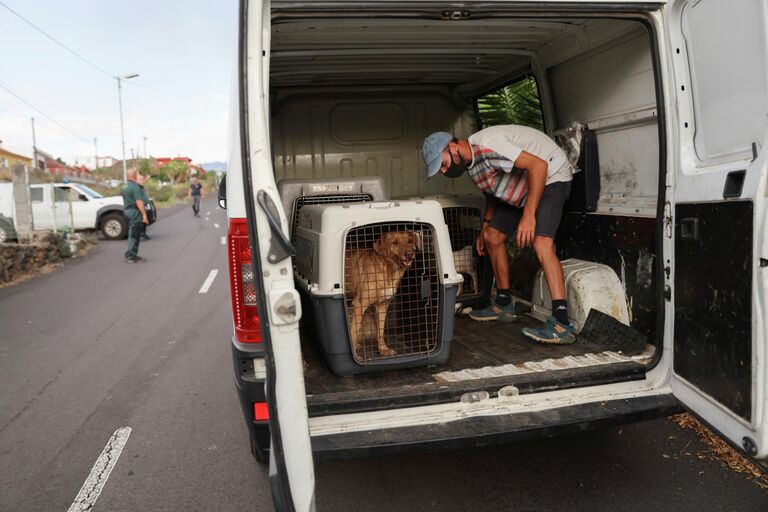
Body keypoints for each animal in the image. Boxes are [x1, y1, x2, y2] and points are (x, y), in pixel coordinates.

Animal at [346, 232, 424, 360]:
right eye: (395, 242)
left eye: (409, 241)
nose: (409, 254)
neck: (388, 270)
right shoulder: (359, 305)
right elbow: (353, 332)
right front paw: (355, 357)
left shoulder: (382, 306)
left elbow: (380, 331)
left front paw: (383, 350)